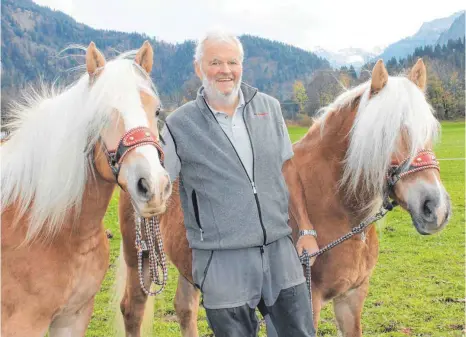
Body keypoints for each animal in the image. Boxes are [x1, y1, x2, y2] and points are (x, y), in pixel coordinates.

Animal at [117, 59, 452, 334]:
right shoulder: (308, 300)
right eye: (385, 134)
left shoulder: (352, 298)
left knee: (185, 308)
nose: (434, 208)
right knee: (132, 311)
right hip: (141, 260)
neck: (338, 211)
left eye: (428, 130)